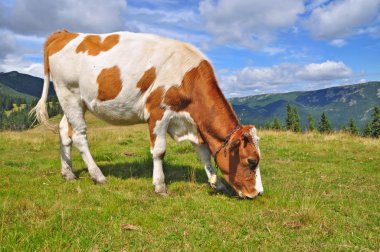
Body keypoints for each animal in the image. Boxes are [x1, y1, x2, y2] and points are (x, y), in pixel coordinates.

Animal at [30, 29, 264, 199]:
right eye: (251, 161)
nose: (258, 193)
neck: (188, 76)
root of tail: (65, 33)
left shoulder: (193, 123)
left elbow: (204, 153)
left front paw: (218, 184)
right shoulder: (158, 112)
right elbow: (159, 151)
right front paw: (160, 186)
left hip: (75, 102)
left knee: (64, 131)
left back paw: (68, 173)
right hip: (69, 94)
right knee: (79, 136)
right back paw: (98, 176)